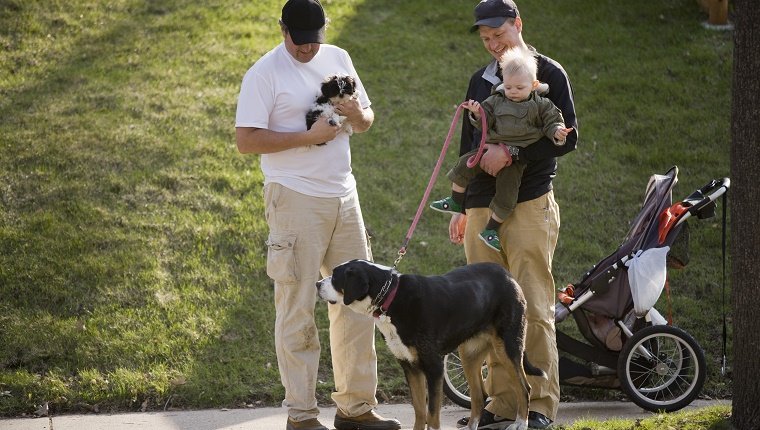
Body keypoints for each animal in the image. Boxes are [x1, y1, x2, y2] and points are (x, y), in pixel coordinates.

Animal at [316, 258, 548, 430]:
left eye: (335, 276)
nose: (317, 284)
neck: (391, 298)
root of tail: (507, 274)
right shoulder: (410, 367)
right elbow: (420, 411)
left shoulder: (434, 367)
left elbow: (432, 414)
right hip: (469, 355)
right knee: (478, 397)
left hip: (508, 347)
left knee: (524, 388)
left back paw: (521, 423)